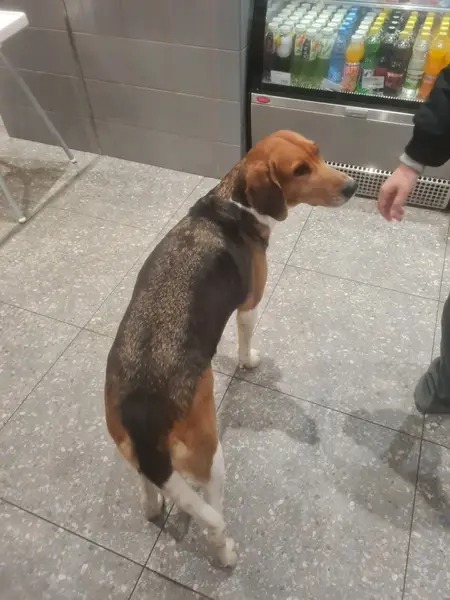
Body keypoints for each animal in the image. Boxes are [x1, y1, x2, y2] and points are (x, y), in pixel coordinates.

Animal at [104, 130, 357, 567]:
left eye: (317, 152)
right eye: (299, 170)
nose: (353, 187)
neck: (233, 203)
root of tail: (142, 409)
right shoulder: (250, 304)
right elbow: (246, 339)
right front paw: (248, 361)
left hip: (137, 456)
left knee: (148, 488)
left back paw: (152, 507)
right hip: (211, 459)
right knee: (212, 519)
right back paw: (224, 553)